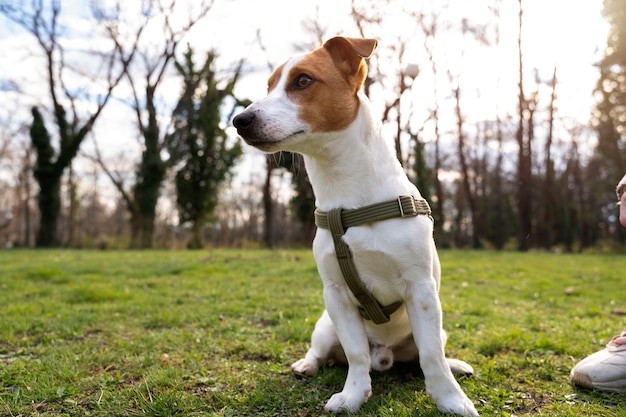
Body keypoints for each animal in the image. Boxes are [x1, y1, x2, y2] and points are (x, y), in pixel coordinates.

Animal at [234, 36, 478, 416]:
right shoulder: (336, 296)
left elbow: (431, 357)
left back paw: (455, 364)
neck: (348, 199)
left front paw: (450, 399)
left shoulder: (422, 290)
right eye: (269, 86)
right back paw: (307, 364)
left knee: (428, 351)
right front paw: (352, 395)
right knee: (325, 351)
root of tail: (387, 354)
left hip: (436, 327)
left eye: (302, 81)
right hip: (324, 326)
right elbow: (355, 353)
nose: (239, 119)